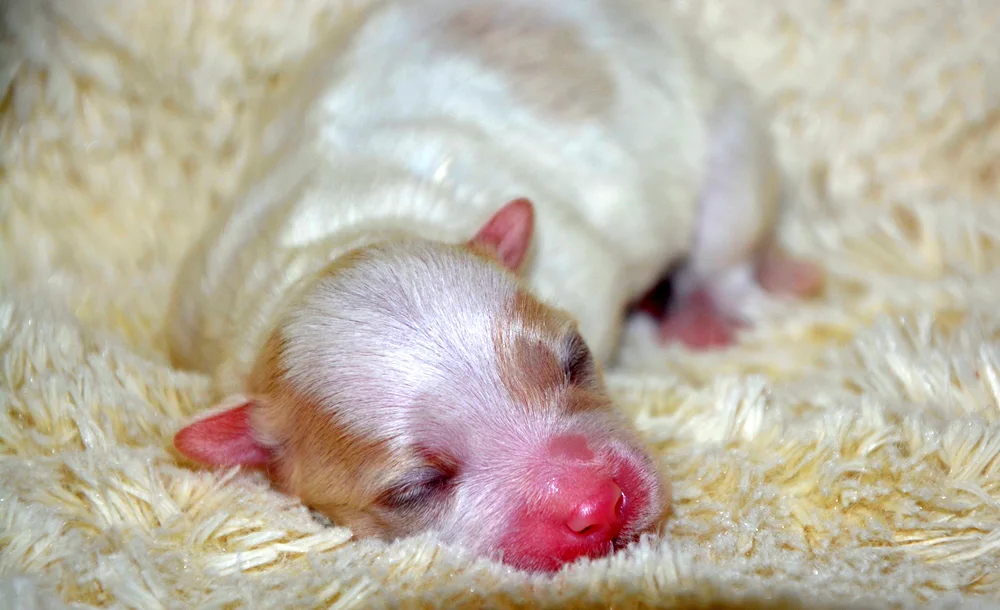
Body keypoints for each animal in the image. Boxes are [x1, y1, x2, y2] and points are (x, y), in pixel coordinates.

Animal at [166, 0, 820, 568]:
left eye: (575, 361)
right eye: (416, 487)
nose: (599, 505)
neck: (344, 241)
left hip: (731, 141)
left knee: (727, 250)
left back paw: (704, 314)